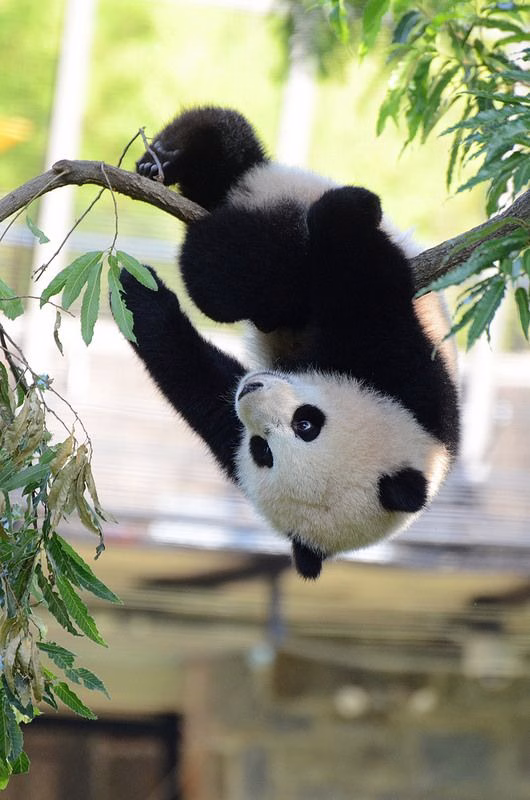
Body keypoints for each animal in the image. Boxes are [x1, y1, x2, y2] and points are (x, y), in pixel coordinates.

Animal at [120, 106, 460, 579]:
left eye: (263, 451)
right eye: (308, 423)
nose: (250, 390)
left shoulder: (232, 431)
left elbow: (200, 382)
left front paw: (140, 294)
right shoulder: (415, 382)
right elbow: (364, 288)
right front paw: (346, 213)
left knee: (255, 272)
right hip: (277, 188)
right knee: (229, 151)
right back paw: (166, 160)